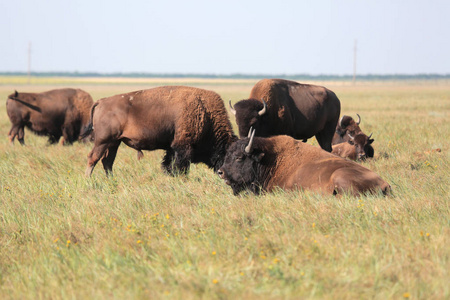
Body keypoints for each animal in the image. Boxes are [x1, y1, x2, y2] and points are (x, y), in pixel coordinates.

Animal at [81, 85, 237, 177]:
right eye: (228, 155)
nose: (223, 173)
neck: (205, 112)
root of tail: (101, 101)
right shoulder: (183, 147)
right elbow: (179, 167)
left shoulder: (172, 148)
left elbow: (168, 165)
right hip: (103, 141)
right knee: (93, 158)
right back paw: (89, 180)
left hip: (114, 142)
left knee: (107, 161)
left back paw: (111, 180)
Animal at [216, 129, 388, 197]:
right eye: (227, 155)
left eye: (239, 157)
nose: (220, 172)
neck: (271, 160)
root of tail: (385, 184)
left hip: (340, 175)